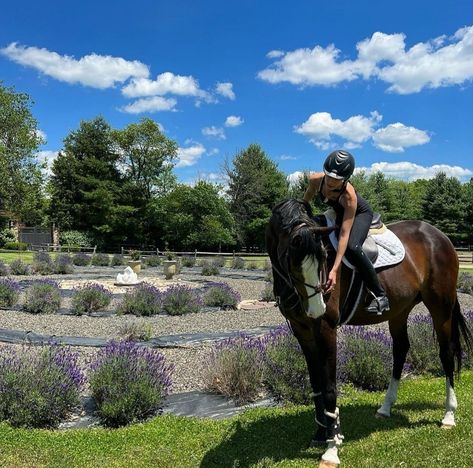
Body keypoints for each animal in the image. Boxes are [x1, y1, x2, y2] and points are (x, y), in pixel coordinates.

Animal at [266, 198, 472, 468]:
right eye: (291, 259)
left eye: (325, 257)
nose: (317, 308)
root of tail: (439, 235)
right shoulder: (303, 331)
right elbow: (316, 383)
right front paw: (321, 433)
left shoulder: (326, 329)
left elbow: (329, 386)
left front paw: (332, 447)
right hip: (399, 310)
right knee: (400, 350)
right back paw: (385, 408)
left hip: (441, 306)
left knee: (446, 354)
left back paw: (448, 415)